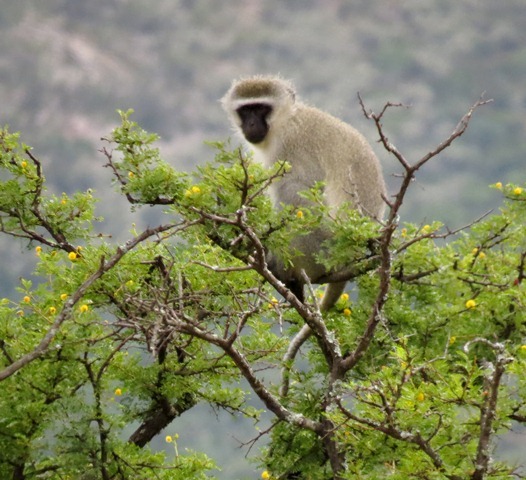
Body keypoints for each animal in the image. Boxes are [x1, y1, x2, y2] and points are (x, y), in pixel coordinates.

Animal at [223, 74, 388, 312]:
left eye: (261, 108)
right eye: (246, 110)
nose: (251, 124)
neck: (286, 120)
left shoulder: (291, 147)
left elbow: (306, 186)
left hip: (324, 248)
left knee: (291, 191)